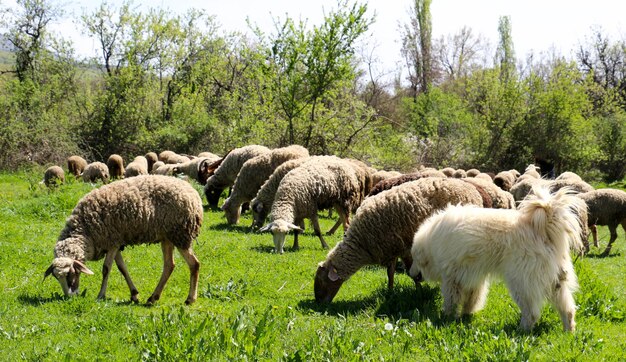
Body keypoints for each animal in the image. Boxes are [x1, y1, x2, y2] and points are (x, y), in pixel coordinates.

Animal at [45, 175, 204, 306]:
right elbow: (122, 268)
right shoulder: (115, 243)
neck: (86, 231)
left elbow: (106, 269)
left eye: (70, 274)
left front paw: (101, 295)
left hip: (181, 234)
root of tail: (193, 193)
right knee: (169, 265)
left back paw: (190, 299)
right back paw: (153, 298)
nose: (69, 298)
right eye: (56, 277)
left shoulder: (112, 241)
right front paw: (134, 295)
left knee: (194, 264)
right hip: (167, 237)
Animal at [312, 177, 482, 302]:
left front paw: (420, 291)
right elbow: (391, 272)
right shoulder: (391, 249)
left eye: (321, 280)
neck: (362, 243)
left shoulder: (405, 248)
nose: (319, 303)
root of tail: (472, 190)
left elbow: (411, 273)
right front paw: (390, 291)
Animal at [410, 187, 584, 330]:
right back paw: (568, 332)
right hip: (556, 285)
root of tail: (544, 230)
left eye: (413, 259)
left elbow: (451, 301)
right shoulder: (472, 278)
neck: (431, 242)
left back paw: (520, 331)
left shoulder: (451, 279)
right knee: (568, 310)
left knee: (532, 313)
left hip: (521, 283)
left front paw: (447, 317)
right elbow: (472, 300)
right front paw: (466, 315)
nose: (410, 273)